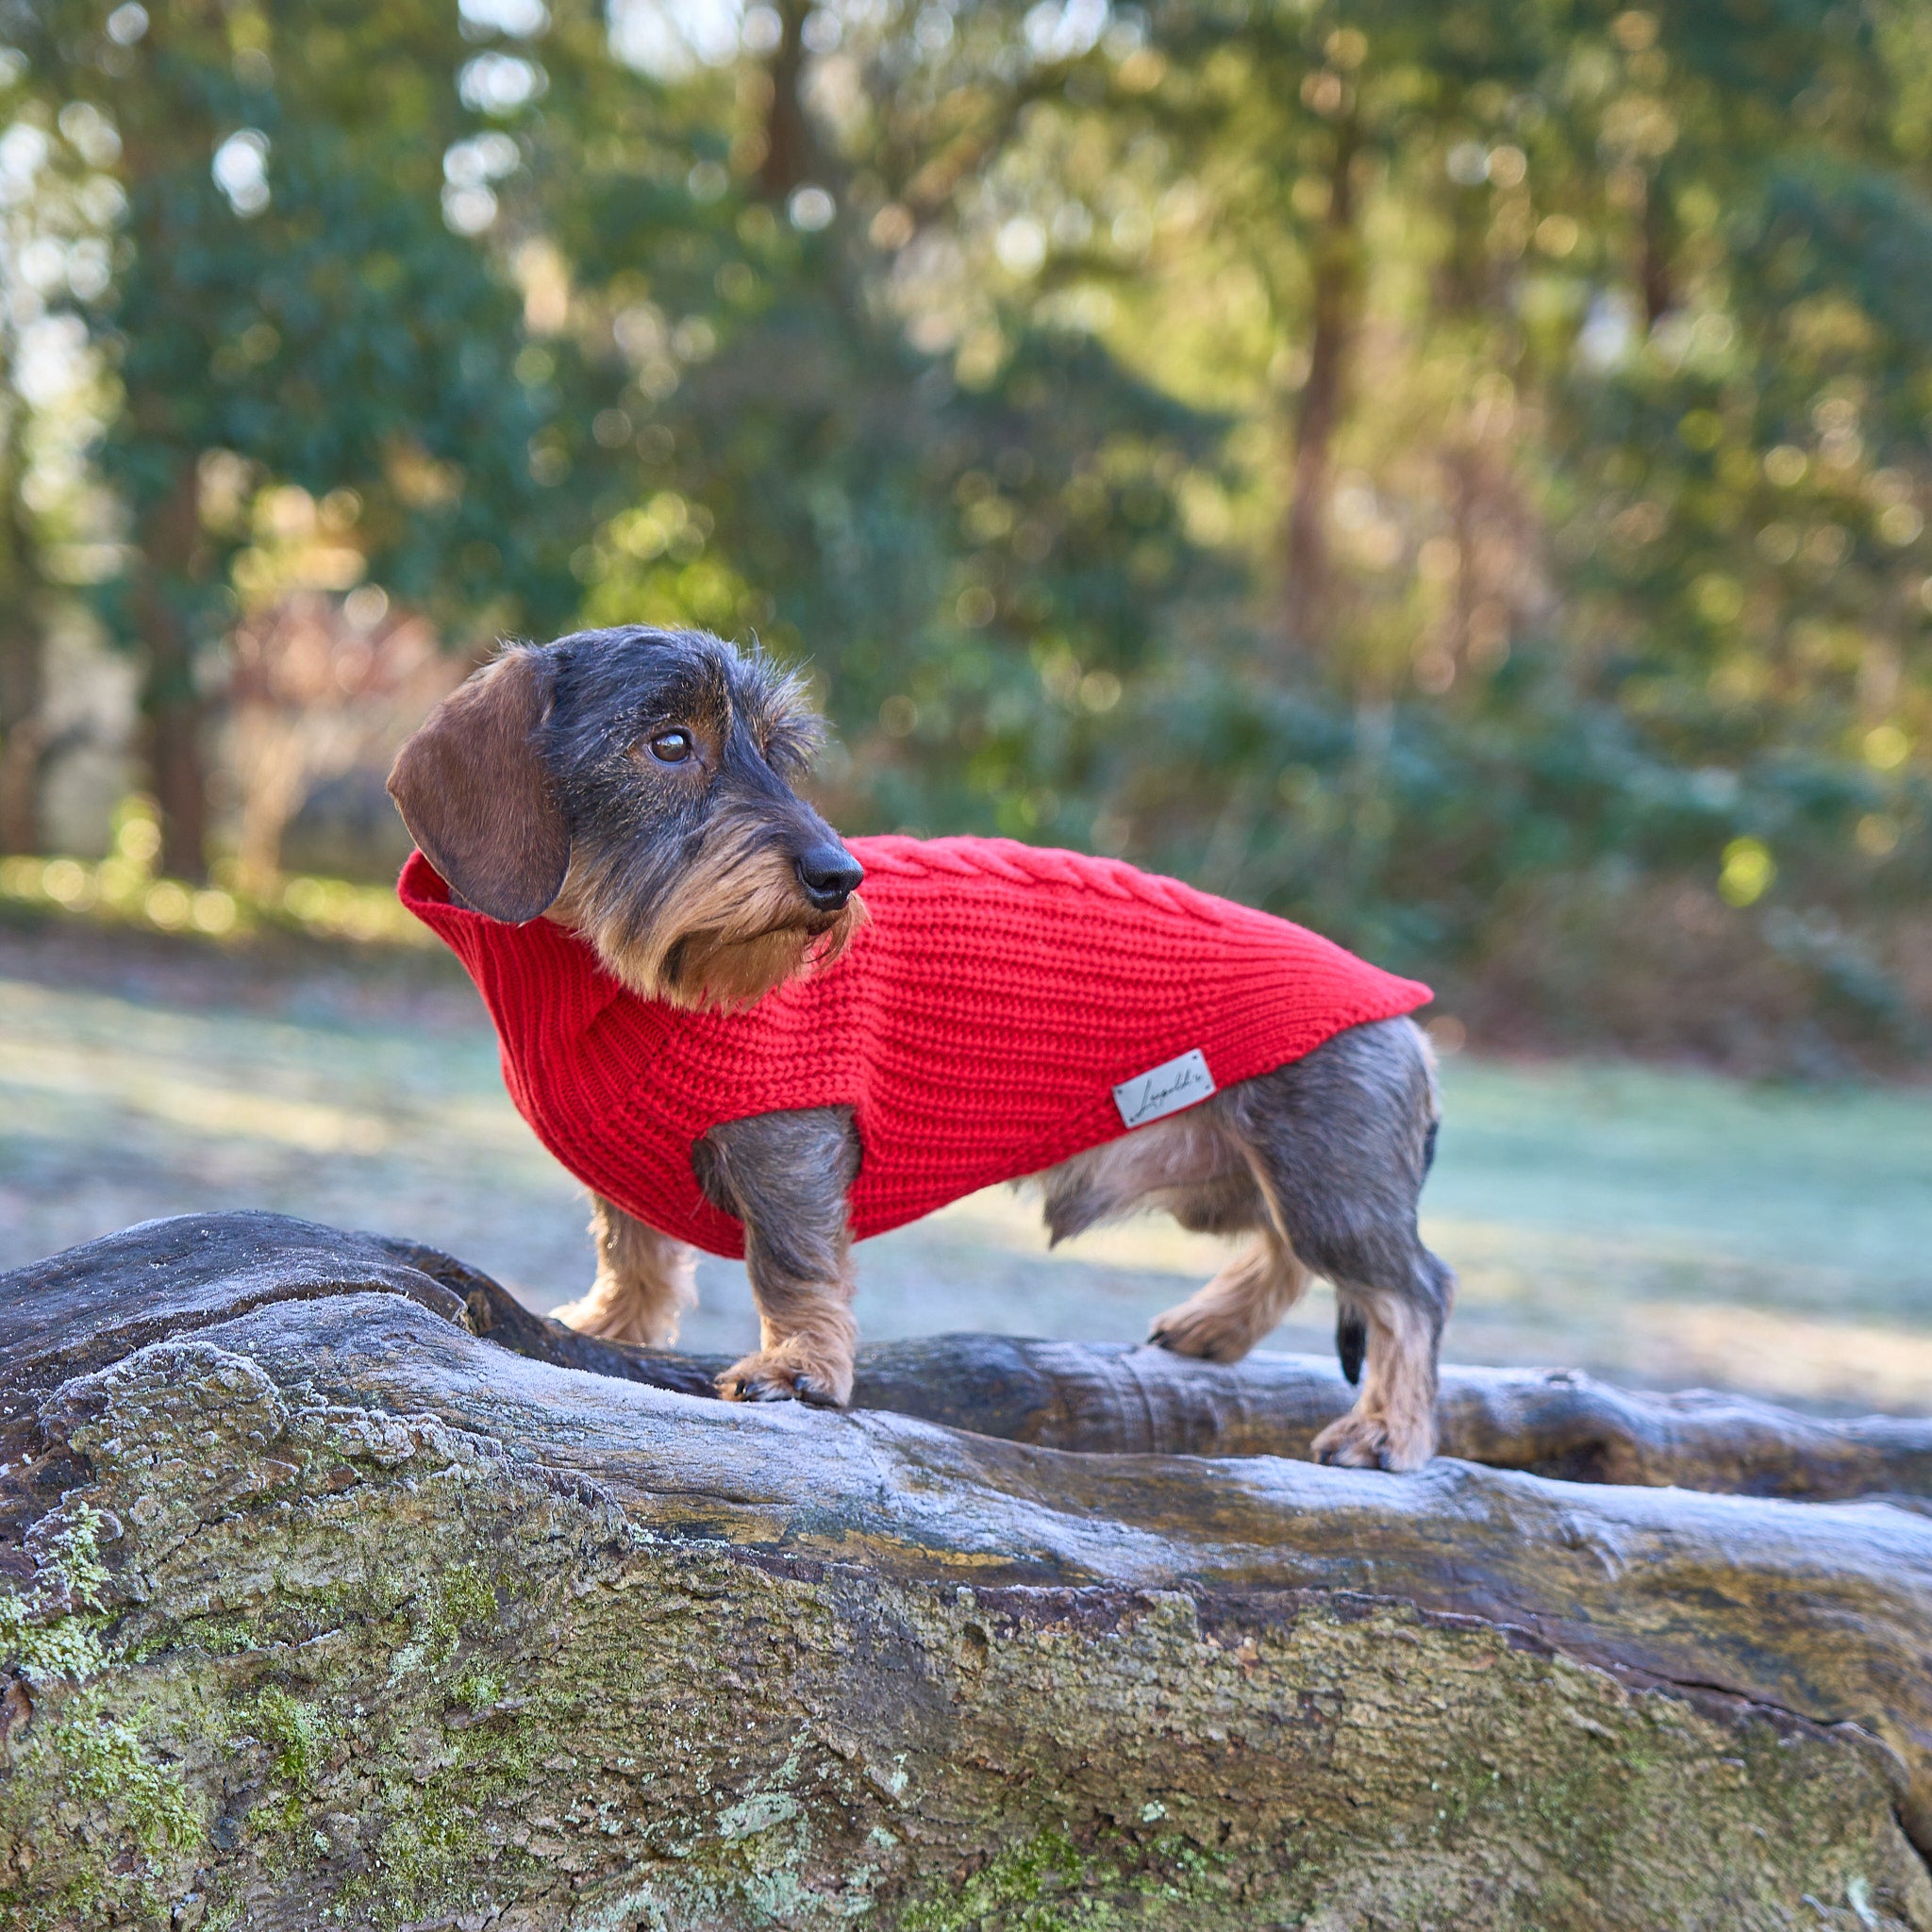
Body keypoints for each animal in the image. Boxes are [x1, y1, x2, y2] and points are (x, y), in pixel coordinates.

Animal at [388, 625, 1453, 1468]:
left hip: (1321, 1173)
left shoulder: (789, 1140)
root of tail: (1399, 1008)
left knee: (1409, 1292)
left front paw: (799, 1366)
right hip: (1242, 1177)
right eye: (670, 743)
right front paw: (616, 1325)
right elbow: (632, 1248)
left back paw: (1384, 1430)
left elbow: (792, 1261)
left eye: (778, 752)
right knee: (1289, 1254)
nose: (838, 875)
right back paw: (1213, 1326)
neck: (612, 981)